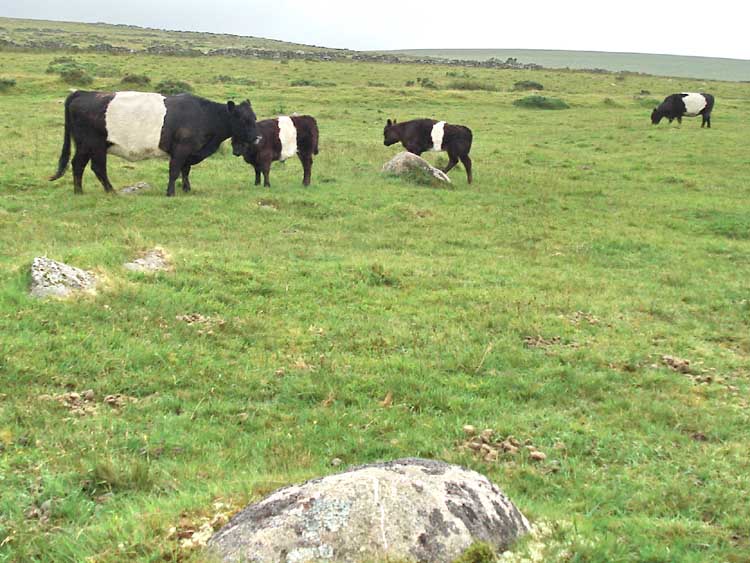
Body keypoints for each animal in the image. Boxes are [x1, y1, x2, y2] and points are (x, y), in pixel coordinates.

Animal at [49, 90, 258, 196]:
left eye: (254, 118)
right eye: (243, 120)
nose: (258, 138)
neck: (205, 115)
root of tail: (83, 93)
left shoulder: (189, 152)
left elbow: (185, 171)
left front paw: (187, 189)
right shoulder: (181, 149)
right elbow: (175, 171)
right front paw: (171, 193)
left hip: (84, 145)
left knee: (78, 164)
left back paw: (79, 191)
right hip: (94, 144)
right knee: (97, 167)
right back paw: (111, 191)